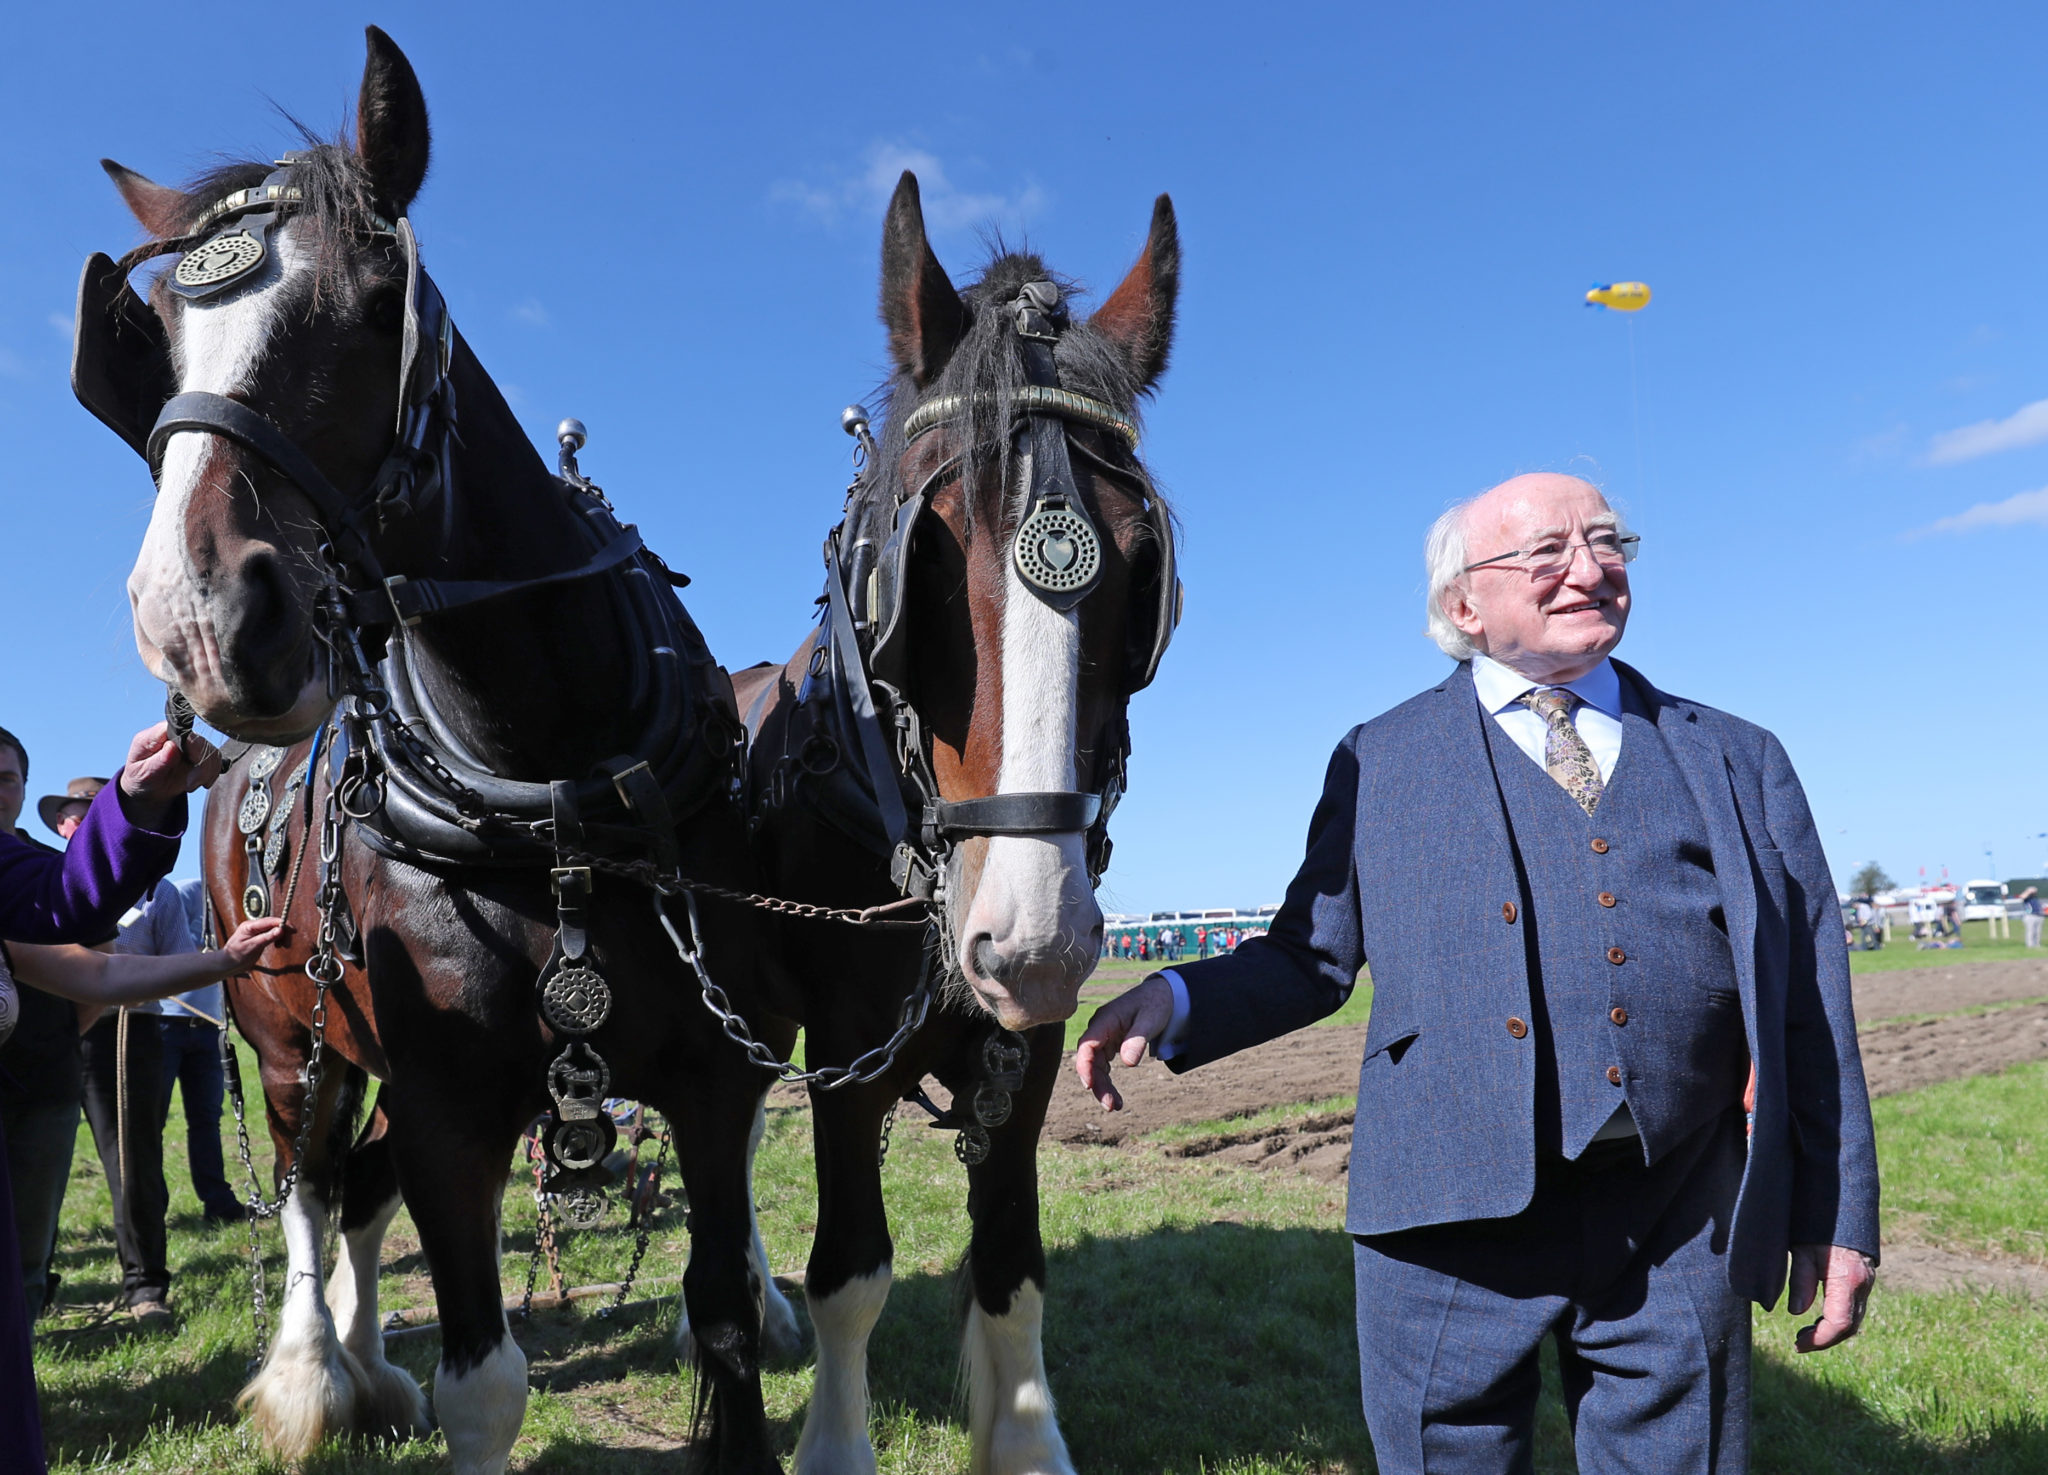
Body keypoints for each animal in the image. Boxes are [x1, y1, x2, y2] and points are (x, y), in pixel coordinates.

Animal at [81, 25, 782, 1475]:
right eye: (162, 335)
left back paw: (365, 1367)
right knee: (311, 1187)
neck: (551, 783)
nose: (195, 618)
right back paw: (316, 1375)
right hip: (287, 1040)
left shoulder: (710, 1084)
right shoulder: (456, 1105)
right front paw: (372, 1380)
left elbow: (726, 1319)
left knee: (358, 1190)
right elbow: (483, 1376)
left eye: (370, 302)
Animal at [741, 176, 1187, 1475]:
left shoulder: (1023, 1050)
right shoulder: (843, 1049)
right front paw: (833, 1442)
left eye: (1140, 574)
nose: (1029, 940)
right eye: (922, 568)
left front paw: (1022, 1436)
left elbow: (1010, 1272)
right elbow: (850, 1270)